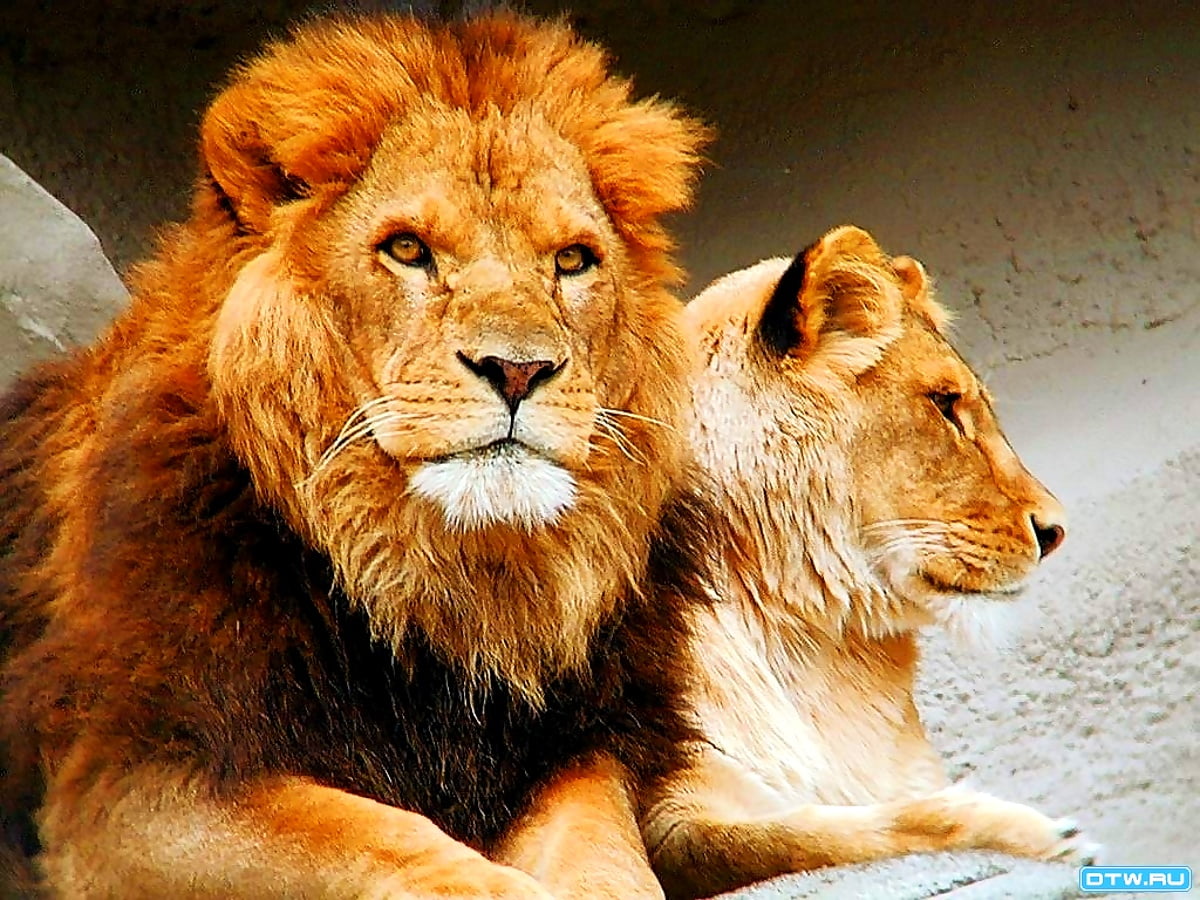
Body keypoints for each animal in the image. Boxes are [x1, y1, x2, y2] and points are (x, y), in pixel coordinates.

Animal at [0, 13, 713, 898]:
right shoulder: (129, 780)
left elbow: (606, 855)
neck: (443, 583)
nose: (519, 369)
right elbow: (396, 846)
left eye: (573, 261)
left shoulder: (576, 751)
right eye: (407, 250)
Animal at [640, 226, 1099, 899]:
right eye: (945, 404)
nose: (1056, 530)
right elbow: (834, 833)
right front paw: (1045, 835)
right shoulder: (669, 817)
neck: (810, 644)